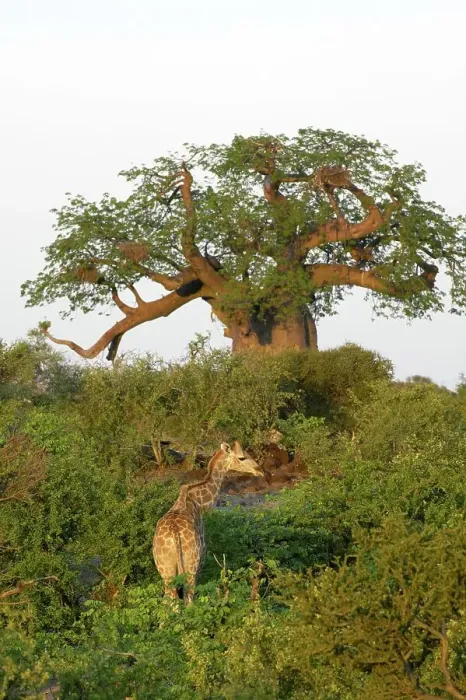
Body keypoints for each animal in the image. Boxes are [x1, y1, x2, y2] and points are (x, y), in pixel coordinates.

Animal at [153, 441, 262, 604]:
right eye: (242, 457)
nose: (259, 470)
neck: (198, 502)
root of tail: (174, 535)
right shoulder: (202, 558)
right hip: (190, 567)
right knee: (187, 600)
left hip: (165, 570)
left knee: (169, 600)